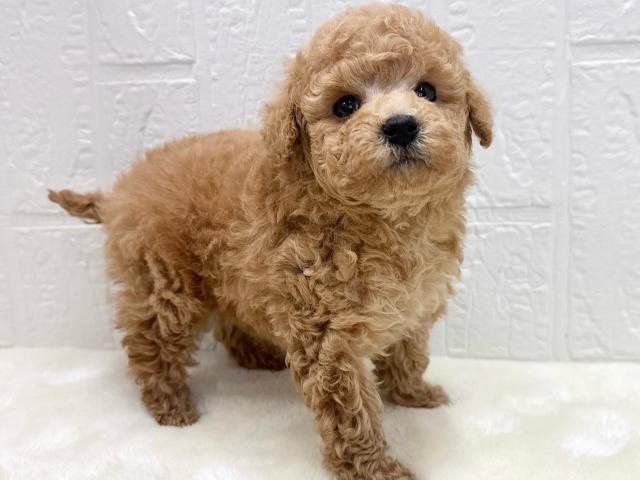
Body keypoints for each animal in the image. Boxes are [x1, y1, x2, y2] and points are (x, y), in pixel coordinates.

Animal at [49, 4, 492, 479]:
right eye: (345, 105)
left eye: (427, 91)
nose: (401, 126)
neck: (387, 218)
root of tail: (119, 192)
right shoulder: (329, 339)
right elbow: (351, 410)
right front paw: (375, 467)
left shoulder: (415, 305)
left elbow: (409, 352)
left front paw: (413, 394)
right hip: (164, 285)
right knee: (150, 342)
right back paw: (171, 407)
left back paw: (257, 358)